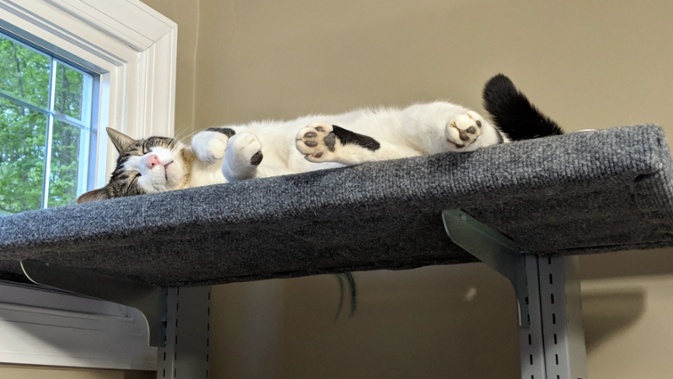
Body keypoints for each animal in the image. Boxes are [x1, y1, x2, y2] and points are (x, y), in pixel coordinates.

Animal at [79, 74, 560, 205]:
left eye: (145, 150)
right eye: (132, 181)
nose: (152, 164)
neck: (194, 181)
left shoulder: (226, 124)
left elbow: (205, 135)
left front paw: (218, 146)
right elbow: (240, 170)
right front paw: (238, 154)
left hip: (425, 118)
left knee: (476, 136)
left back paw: (463, 128)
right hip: (378, 154)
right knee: (369, 152)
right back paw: (325, 144)